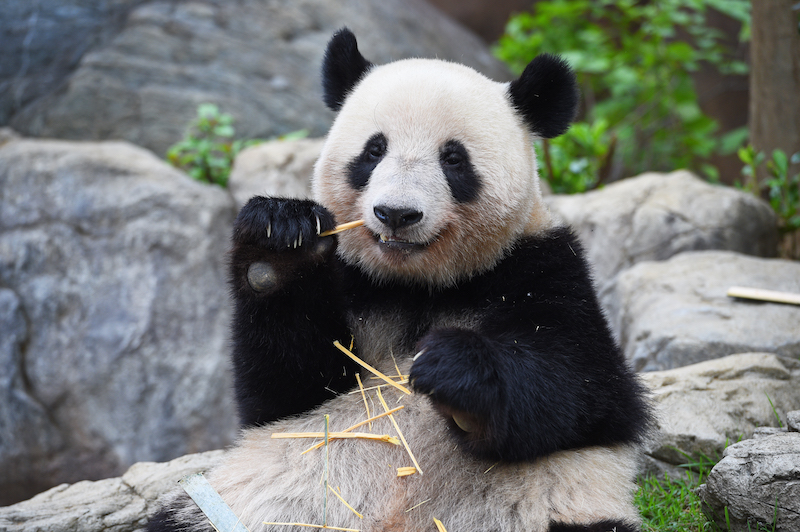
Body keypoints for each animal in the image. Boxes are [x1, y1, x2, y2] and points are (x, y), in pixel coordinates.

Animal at [148, 28, 648, 532]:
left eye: (454, 159)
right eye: (374, 150)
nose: (397, 214)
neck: (416, 284)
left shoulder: (541, 267)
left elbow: (581, 386)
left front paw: (452, 367)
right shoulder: (355, 285)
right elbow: (285, 390)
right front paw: (278, 241)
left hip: (550, 506)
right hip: (260, 502)